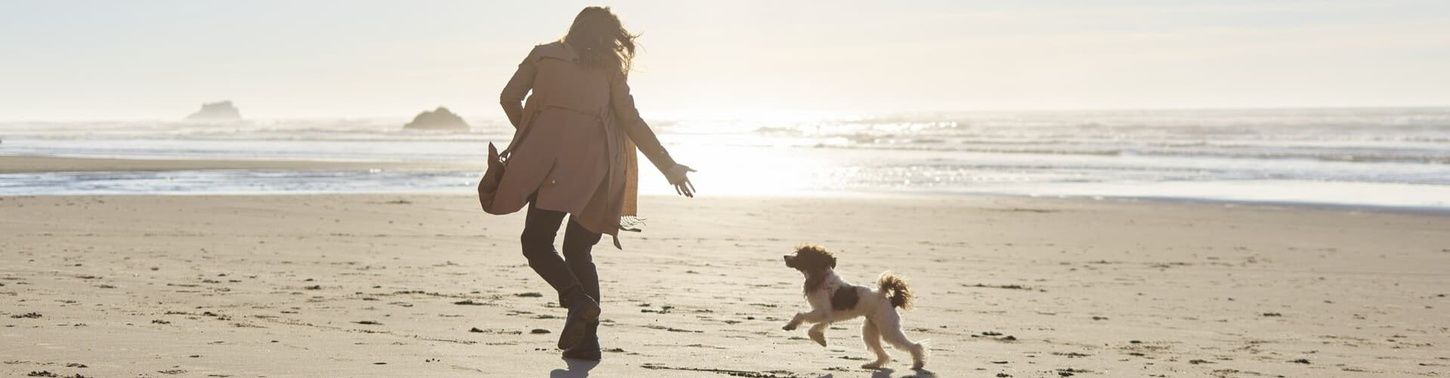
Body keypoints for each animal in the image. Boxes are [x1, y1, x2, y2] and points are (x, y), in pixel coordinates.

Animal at [783, 244, 928, 367]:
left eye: (800, 254)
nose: (785, 256)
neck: (820, 277)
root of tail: (888, 299)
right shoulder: (827, 316)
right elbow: (815, 329)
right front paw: (821, 339)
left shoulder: (823, 312)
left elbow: (800, 315)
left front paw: (791, 325)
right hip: (870, 329)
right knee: (882, 353)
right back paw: (873, 364)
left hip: (888, 328)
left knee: (914, 345)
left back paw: (918, 362)